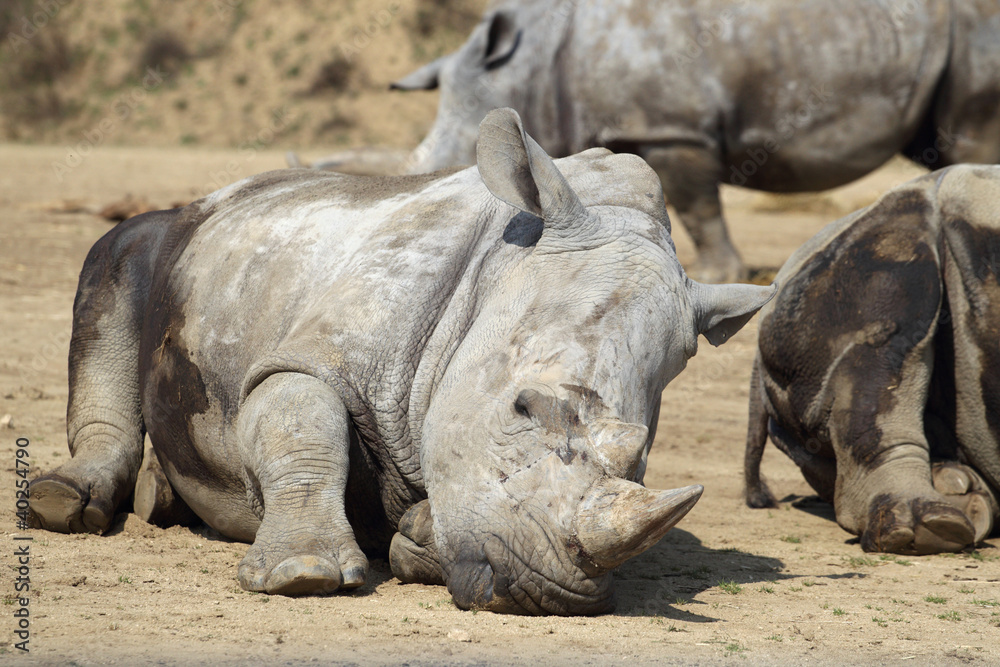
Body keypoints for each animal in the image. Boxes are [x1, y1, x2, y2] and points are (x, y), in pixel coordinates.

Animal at [28, 109, 774, 615]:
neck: (498, 268)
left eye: (641, 453)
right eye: (522, 407)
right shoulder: (317, 347)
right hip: (164, 236)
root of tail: (213, 198)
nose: (546, 591)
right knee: (113, 268)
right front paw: (303, 573)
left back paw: (159, 499)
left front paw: (416, 536)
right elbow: (302, 421)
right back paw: (61, 503)